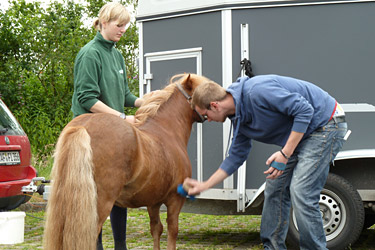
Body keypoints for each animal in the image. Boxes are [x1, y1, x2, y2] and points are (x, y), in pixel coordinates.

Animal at [42, 73, 213, 249]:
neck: (166, 131)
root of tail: (82, 127)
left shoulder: (153, 201)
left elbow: (156, 229)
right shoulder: (175, 199)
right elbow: (172, 231)